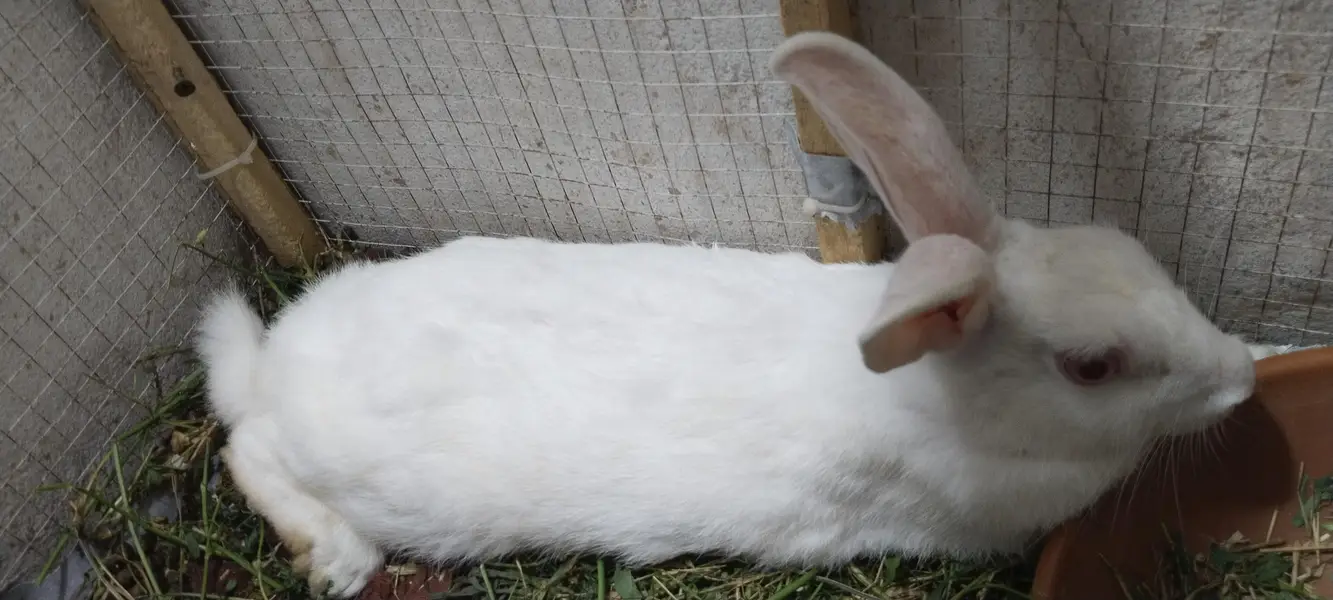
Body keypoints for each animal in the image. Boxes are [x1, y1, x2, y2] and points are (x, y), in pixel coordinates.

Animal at [195, 31, 1257, 598]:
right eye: (1091, 366)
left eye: (1132, 250)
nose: (1242, 375)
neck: (941, 399)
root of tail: (274, 361)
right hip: (355, 473)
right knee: (247, 448)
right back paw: (337, 559)